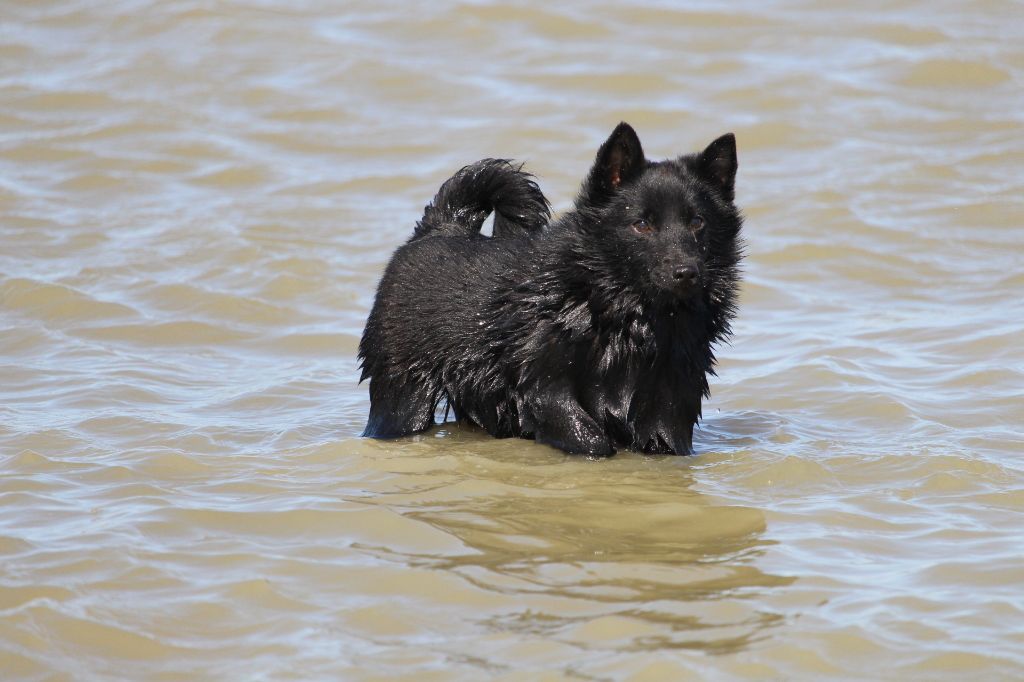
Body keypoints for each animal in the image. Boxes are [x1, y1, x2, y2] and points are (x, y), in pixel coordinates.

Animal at [360, 122, 745, 454]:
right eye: (642, 224)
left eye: (697, 222)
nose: (686, 272)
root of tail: (441, 226)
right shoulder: (544, 388)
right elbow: (592, 440)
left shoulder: (672, 399)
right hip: (403, 397)